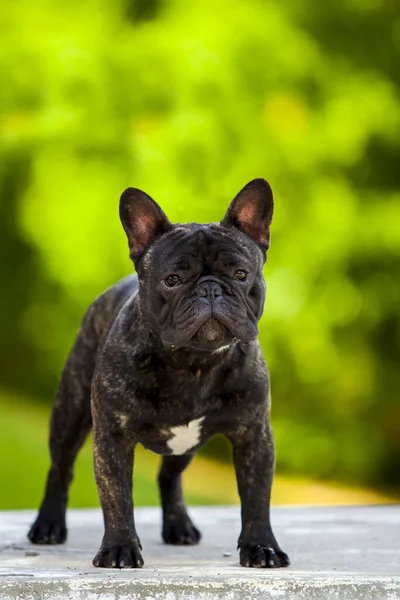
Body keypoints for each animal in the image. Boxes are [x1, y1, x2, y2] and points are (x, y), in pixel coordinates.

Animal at [28, 177, 290, 568]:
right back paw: (48, 525)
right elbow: (118, 498)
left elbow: (257, 499)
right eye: (172, 279)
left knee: (170, 478)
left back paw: (179, 525)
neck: (193, 363)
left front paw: (261, 547)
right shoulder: (113, 439)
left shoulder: (254, 437)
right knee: (60, 469)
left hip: (185, 448)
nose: (210, 288)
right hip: (69, 415)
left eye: (241, 274)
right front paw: (119, 548)